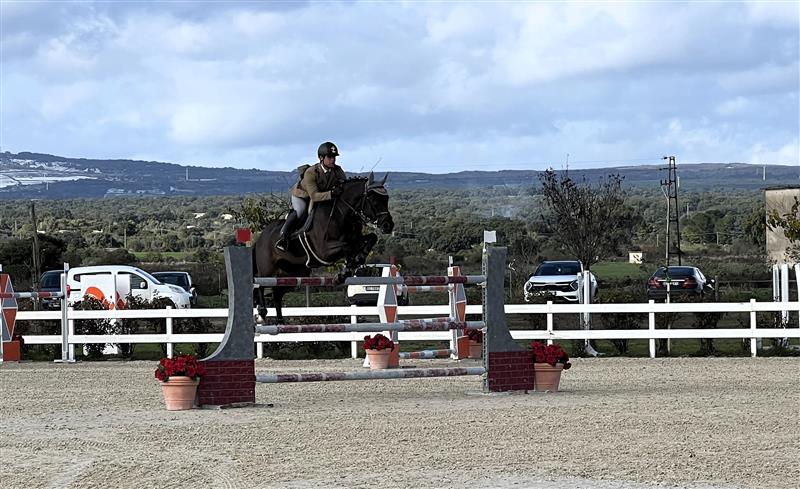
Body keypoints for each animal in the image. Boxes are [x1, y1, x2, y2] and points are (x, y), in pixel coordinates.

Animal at [253, 172, 394, 323]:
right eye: (373, 199)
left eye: (386, 198)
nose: (388, 225)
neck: (342, 213)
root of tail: (260, 238)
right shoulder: (323, 252)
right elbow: (347, 247)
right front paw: (346, 269)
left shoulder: (354, 239)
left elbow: (371, 238)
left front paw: (353, 263)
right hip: (267, 269)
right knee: (260, 284)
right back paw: (262, 313)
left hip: (293, 272)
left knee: (277, 293)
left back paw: (280, 322)